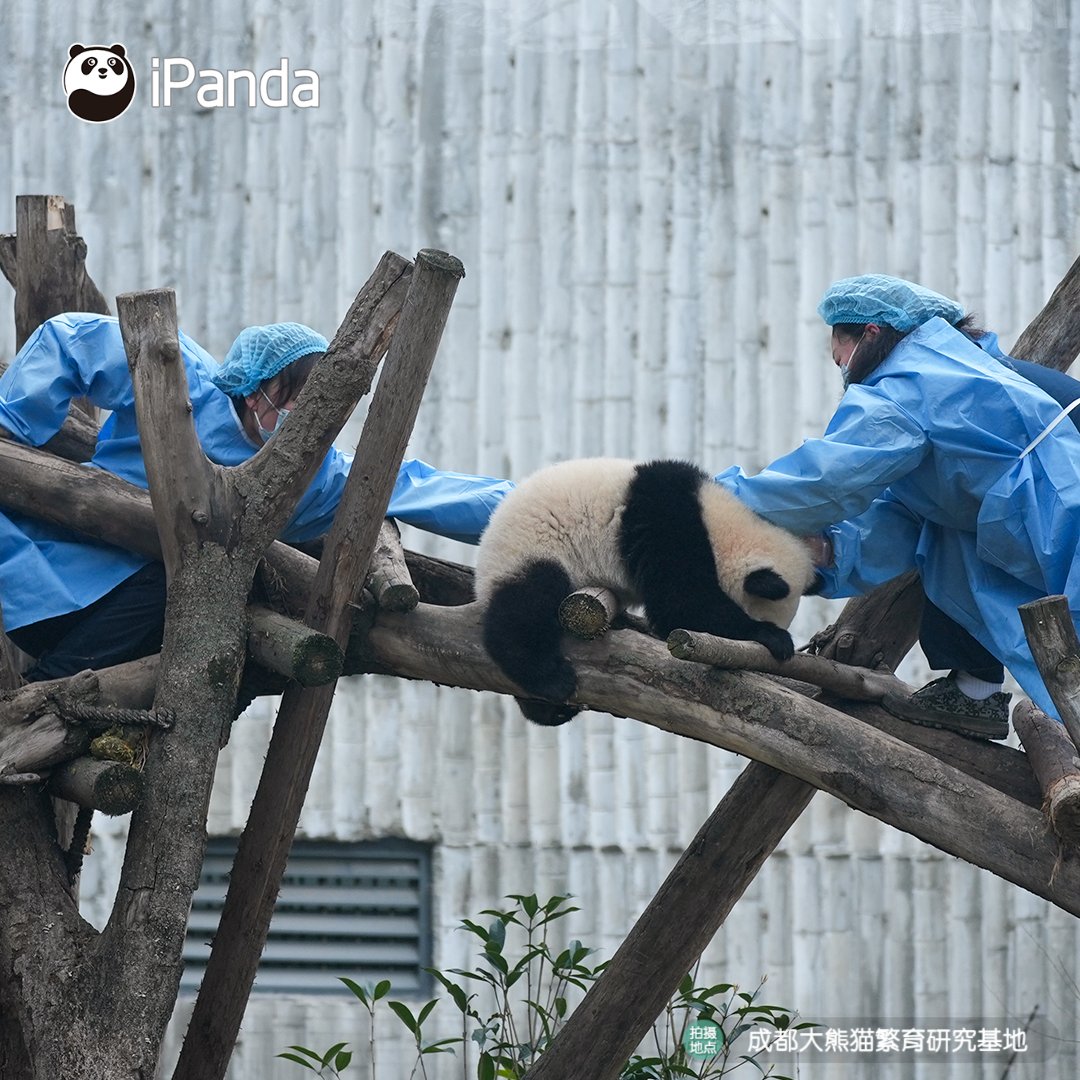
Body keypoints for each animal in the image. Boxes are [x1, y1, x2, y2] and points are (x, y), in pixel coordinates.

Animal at [474, 457, 821, 726]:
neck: (722, 529)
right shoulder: (668, 529)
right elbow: (682, 605)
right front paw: (770, 636)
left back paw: (549, 710)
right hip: (534, 550)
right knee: (525, 608)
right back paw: (551, 679)